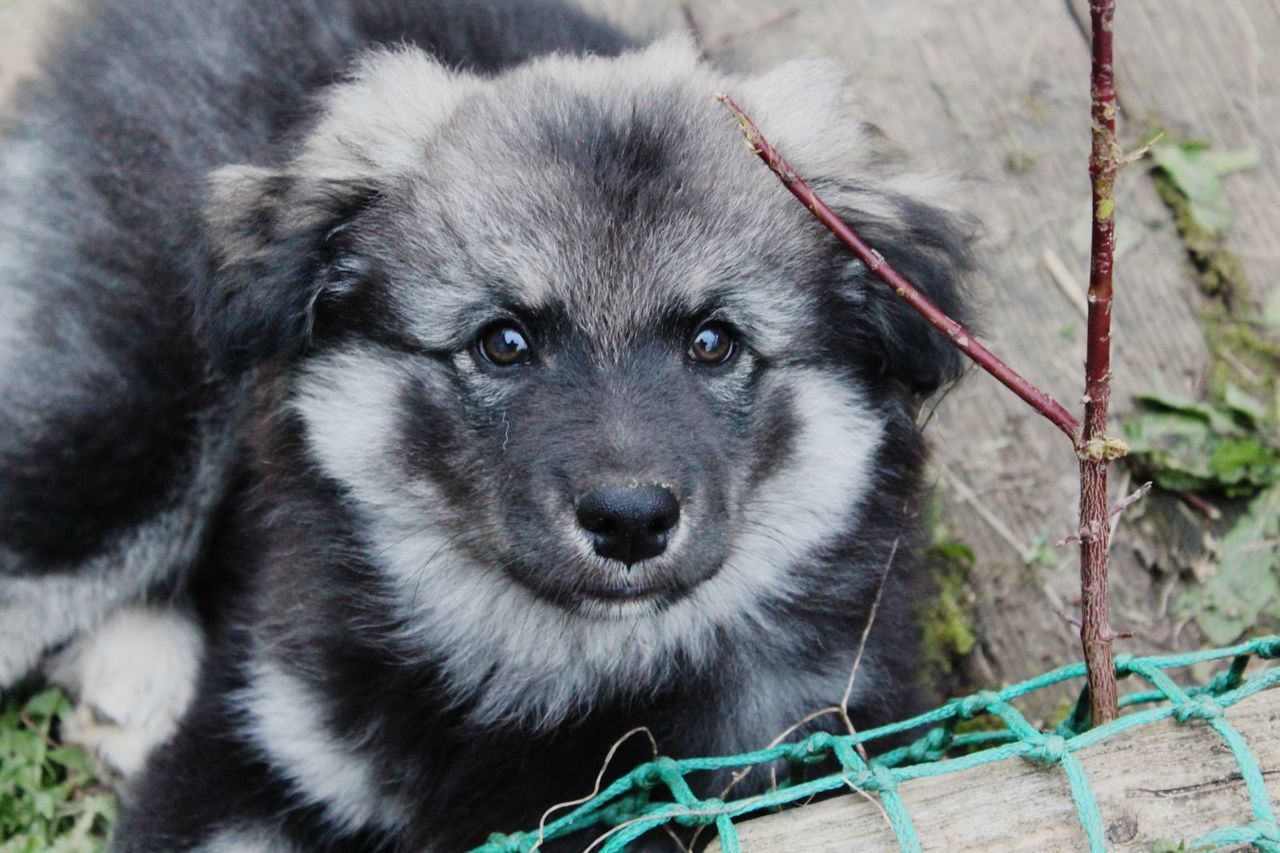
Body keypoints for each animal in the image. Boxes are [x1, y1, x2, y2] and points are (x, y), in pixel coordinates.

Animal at [0, 0, 967, 845]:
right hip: (118, 436)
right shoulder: (255, 749)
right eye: (503, 342)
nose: (630, 522)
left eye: (713, 341)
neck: (559, 669)